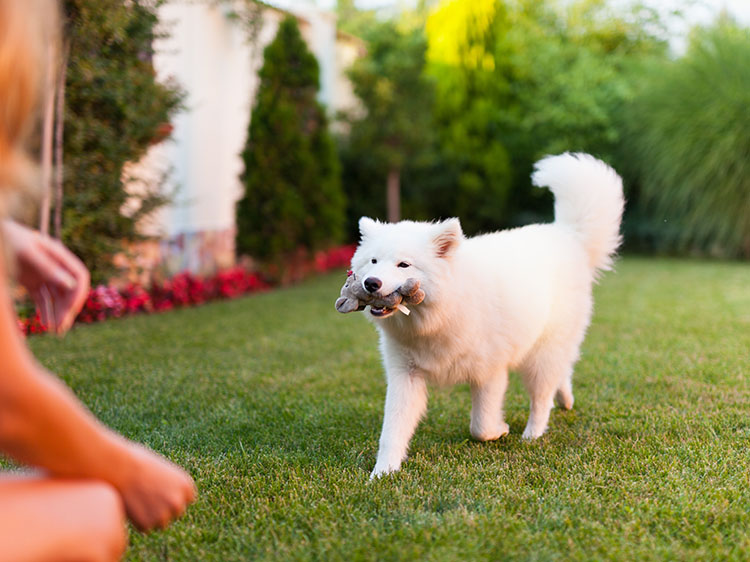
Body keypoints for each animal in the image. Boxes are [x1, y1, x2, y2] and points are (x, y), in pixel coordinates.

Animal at [352, 151, 628, 474]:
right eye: (373, 261)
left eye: (403, 265)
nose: (371, 283)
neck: (437, 319)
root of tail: (566, 234)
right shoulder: (404, 377)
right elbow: (392, 431)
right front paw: (382, 473)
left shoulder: (490, 372)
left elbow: (480, 426)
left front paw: (500, 430)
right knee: (562, 373)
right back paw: (565, 398)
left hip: (540, 355)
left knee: (541, 398)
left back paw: (532, 433)